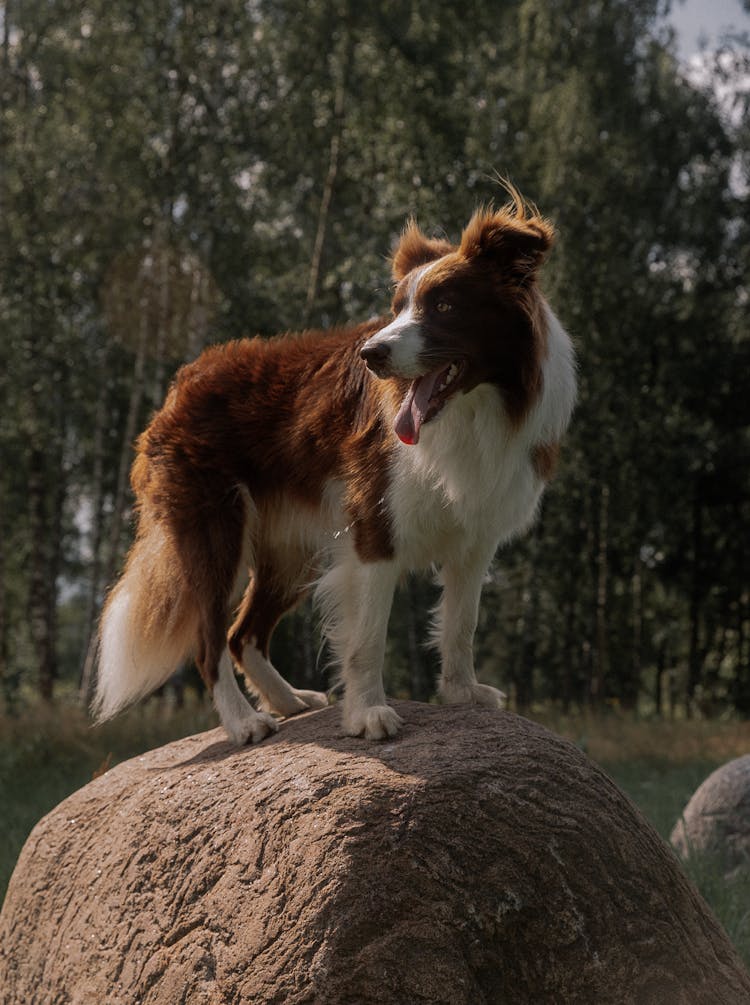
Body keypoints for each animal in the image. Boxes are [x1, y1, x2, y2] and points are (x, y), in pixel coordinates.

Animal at [91, 193, 571, 747]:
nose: (371, 354)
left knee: (242, 632)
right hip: (215, 529)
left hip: (290, 546)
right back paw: (245, 722)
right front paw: (368, 715)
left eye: (445, 306)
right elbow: (367, 637)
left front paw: (462, 693)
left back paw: (288, 700)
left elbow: (461, 623)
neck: (474, 408)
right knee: (210, 640)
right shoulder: (373, 528)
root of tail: (180, 384)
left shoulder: (477, 534)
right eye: (397, 309)